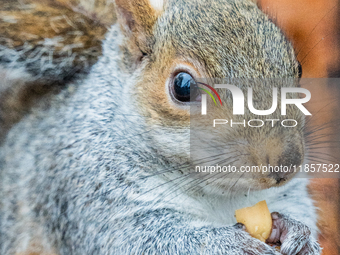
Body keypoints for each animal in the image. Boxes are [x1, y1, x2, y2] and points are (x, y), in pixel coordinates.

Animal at [0, 0, 322, 255]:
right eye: (183, 87)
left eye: (297, 68)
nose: (287, 164)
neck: (221, 194)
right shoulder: (84, 191)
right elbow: (139, 240)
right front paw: (227, 244)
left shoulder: (284, 193)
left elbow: (297, 204)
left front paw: (296, 231)